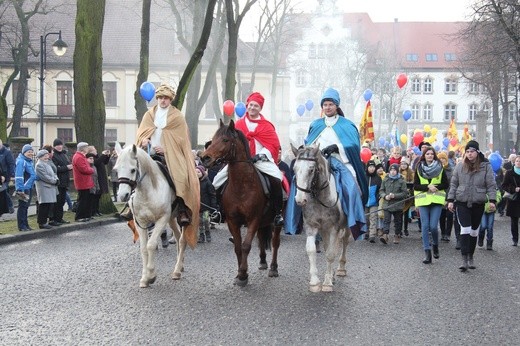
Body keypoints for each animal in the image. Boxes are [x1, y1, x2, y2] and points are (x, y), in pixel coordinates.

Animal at [115, 145, 186, 288]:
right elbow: (143, 248)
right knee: (177, 237)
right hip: (172, 219)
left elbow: (151, 245)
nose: (123, 195)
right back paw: (179, 266)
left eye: (133, 169)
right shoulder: (140, 222)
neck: (148, 192)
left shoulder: (161, 220)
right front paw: (144, 278)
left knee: (182, 240)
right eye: (117, 169)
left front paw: (151, 275)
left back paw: (177, 271)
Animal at [200, 119, 280, 286]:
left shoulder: (253, 219)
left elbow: (246, 246)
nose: (205, 158)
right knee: (261, 238)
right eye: (213, 139)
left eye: (225, 140)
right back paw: (263, 261)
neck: (242, 186)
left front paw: (243, 273)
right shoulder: (233, 221)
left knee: (275, 242)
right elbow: (237, 247)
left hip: (277, 221)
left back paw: (273, 268)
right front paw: (239, 274)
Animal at [290, 143, 352, 292]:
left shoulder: (334, 228)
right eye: (295, 169)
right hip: (324, 229)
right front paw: (314, 282)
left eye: (311, 170)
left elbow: (330, 253)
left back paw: (340, 268)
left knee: (344, 242)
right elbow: (311, 250)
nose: (300, 200)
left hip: (345, 226)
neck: (321, 199)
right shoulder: (311, 226)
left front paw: (327, 283)